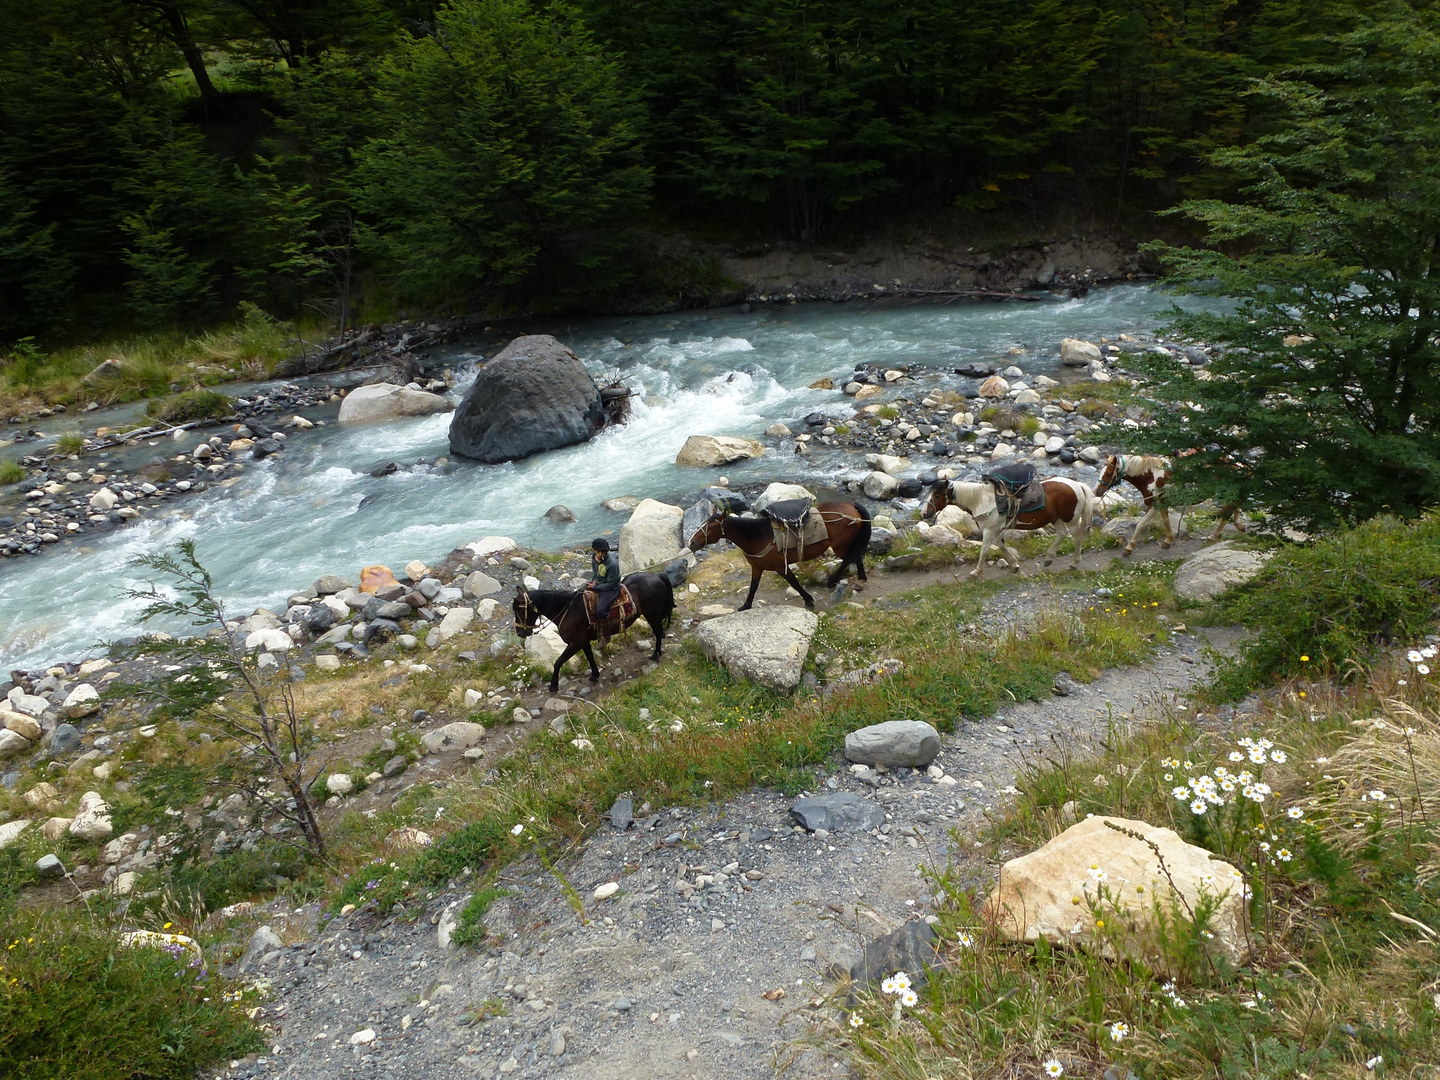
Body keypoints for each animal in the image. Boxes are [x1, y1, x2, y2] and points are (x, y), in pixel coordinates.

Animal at [515, 576, 676, 694]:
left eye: (520, 611)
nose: (520, 632)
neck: (568, 610)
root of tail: (657, 575)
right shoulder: (583, 642)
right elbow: (590, 657)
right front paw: (594, 675)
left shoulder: (575, 643)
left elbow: (558, 662)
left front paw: (553, 685)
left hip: (652, 615)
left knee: (658, 632)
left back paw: (656, 654)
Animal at [682, 504, 864, 613]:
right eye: (703, 523)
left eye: (712, 527)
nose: (692, 542)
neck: (758, 536)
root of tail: (851, 508)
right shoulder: (757, 567)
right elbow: (753, 587)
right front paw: (745, 606)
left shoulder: (780, 567)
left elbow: (794, 582)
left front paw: (809, 601)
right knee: (856, 557)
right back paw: (861, 578)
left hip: (841, 545)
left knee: (849, 559)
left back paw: (834, 580)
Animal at [921, 480, 1088, 578]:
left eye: (937, 495)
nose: (924, 513)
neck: (981, 500)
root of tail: (1077, 485)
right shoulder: (996, 530)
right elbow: (1001, 546)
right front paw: (1014, 566)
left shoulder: (989, 531)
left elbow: (984, 550)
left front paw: (976, 571)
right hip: (1056, 519)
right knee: (1062, 534)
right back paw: (1048, 559)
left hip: (1071, 520)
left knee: (1077, 537)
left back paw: (1074, 563)